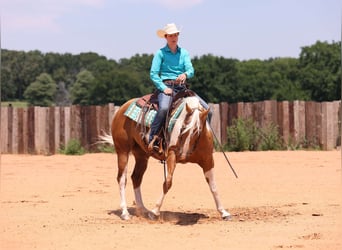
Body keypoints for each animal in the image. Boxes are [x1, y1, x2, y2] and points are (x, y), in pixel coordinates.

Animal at [100, 95, 231, 221]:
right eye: (182, 128)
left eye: (197, 131)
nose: (183, 155)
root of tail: (121, 109)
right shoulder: (172, 156)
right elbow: (167, 183)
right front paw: (155, 212)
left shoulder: (208, 160)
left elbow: (213, 186)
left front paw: (224, 212)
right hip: (123, 151)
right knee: (122, 179)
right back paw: (125, 213)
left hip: (142, 155)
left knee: (136, 177)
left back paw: (143, 209)